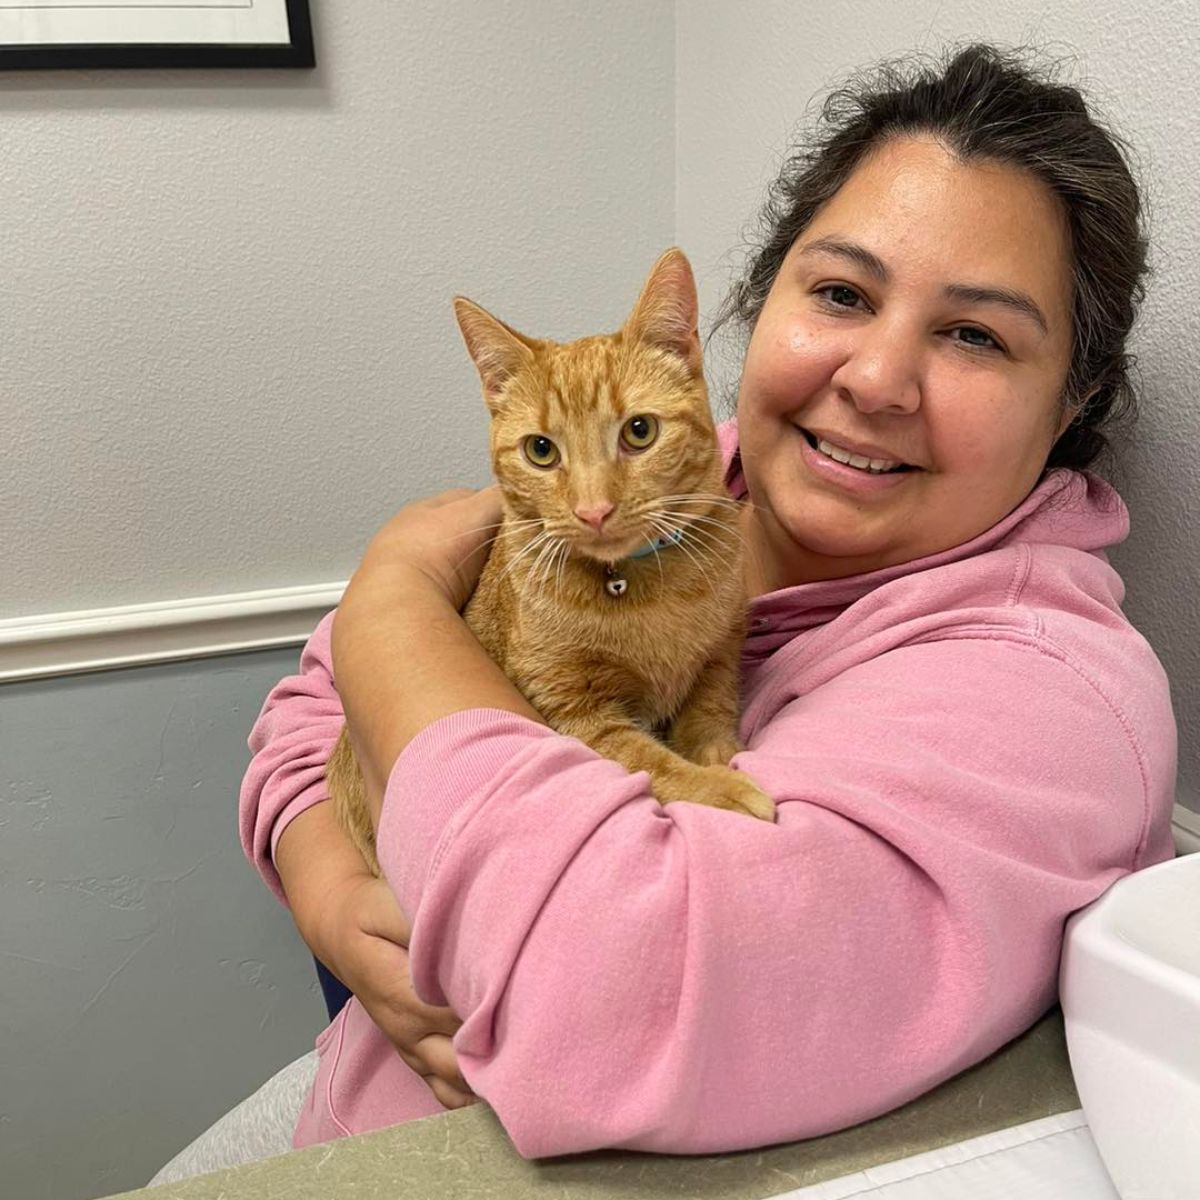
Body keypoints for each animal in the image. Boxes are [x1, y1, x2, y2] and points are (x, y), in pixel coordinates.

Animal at [328, 250, 772, 873]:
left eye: (640, 431)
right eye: (541, 450)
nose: (593, 510)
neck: (641, 586)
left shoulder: (720, 658)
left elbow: (709, 718)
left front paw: (720, 756)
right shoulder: (568, 710)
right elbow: (648, 761)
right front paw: (719, 790)